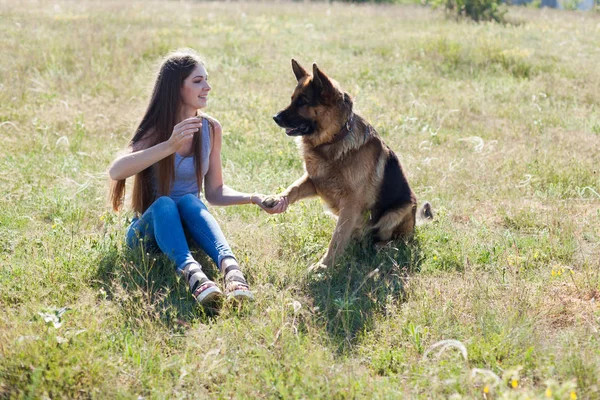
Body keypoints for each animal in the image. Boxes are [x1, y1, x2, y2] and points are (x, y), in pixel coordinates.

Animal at [268, 59, 432, 270]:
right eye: (292, 99)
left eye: (302, 102)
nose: (275, 117)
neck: (334, 140)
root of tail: (414, 225)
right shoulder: (314, 181)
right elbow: (294, 188)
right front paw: (276, 199)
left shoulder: (350, 204)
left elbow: (336, 239)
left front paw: (323, 267)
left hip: (398, 210)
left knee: (398, 241)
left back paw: (383, 246)